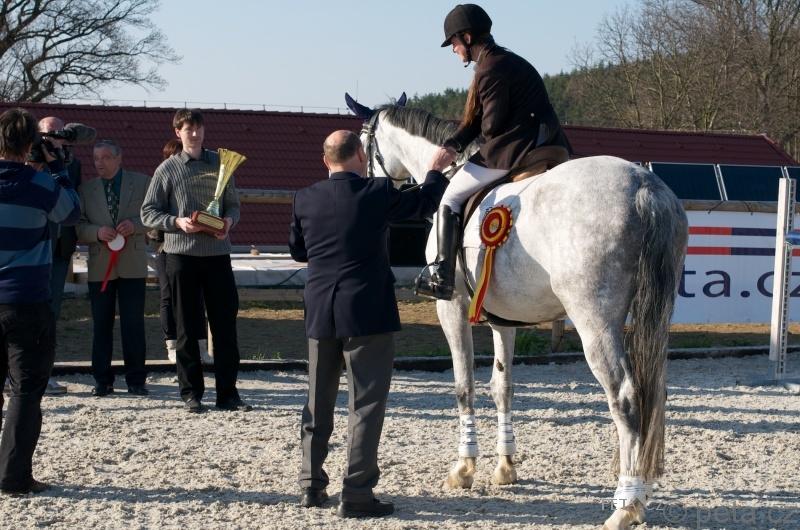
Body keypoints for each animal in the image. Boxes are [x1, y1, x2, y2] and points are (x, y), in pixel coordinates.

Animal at [345, 94, 689, 530]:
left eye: (363, 142)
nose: (369, 184)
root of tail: (644, 186)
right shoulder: (502, 318)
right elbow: (502, 387)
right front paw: (505, 466)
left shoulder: (451, 307)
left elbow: (464, 385)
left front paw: (464, 469)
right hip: (656, 318)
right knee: (653, 393)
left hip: (595, 323)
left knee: (625, 399)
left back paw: (626, 506)